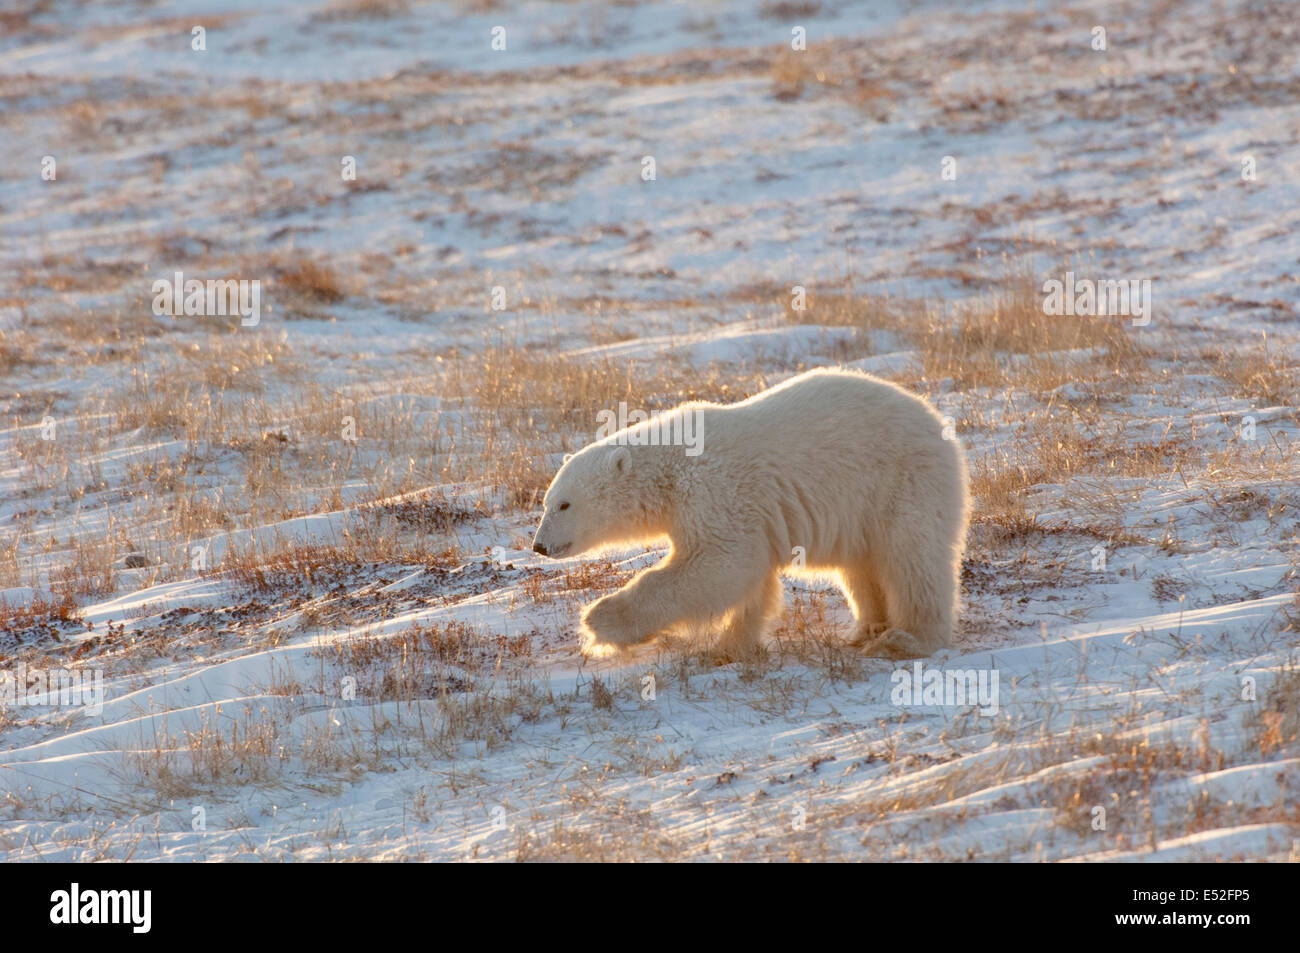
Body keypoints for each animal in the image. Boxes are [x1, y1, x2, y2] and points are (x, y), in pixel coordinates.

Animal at [527, 369, 967, 657]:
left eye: (564, 504)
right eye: (545, 503)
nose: (539, 546)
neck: (672, 466)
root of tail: (939, 427)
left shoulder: (715, 490)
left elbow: (718, 565)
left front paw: (599, 621)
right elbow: (751, 579)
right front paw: (732, 645)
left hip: (902, 481)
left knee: (911, 558)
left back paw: (906, 639)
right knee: (862, 567)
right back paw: (867, 627)